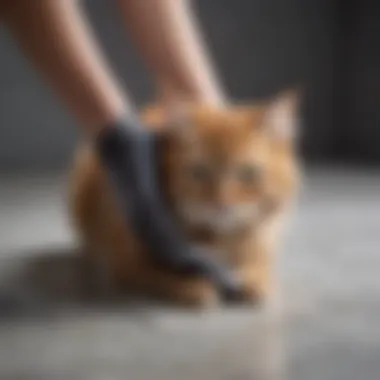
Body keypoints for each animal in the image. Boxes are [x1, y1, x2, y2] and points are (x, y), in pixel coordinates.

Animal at [69, 93, 300, 308]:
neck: (220, 238)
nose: (221, 203)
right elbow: (164, 275)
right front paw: (192, 286)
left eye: (248, 173)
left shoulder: (261, 243)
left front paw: (253, 280)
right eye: (199, 172)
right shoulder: (128, 264)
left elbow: (259, 265)